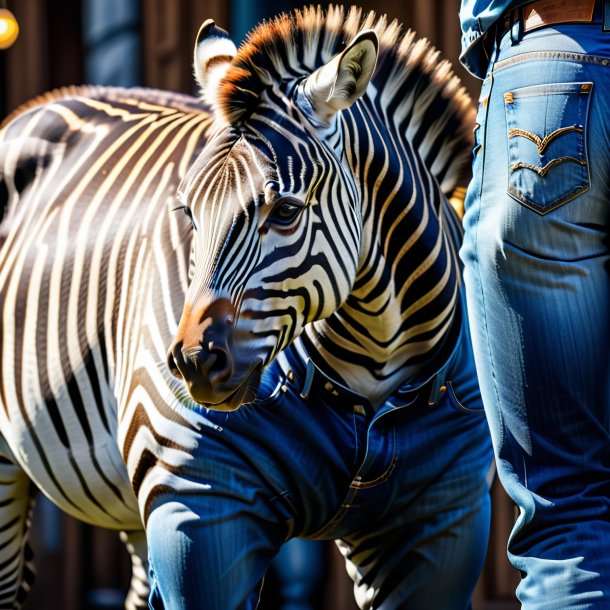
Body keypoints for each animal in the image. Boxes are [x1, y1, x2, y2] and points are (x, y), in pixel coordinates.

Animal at [0, 4, 492, 608]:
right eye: (188, 214)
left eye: (285, 211)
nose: (193, 364)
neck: (369, 365)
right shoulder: (199, 506)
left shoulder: (437, 526)